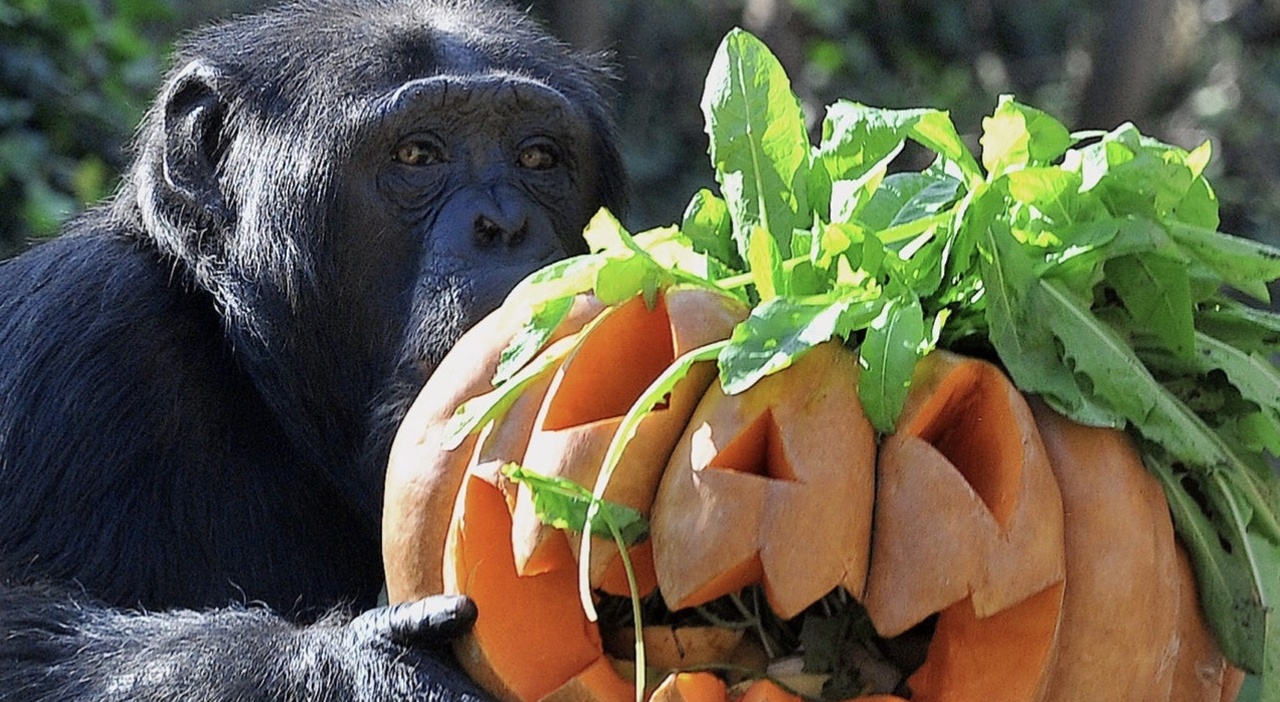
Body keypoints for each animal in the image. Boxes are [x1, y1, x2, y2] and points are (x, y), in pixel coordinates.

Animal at [0, 0, 624, 696]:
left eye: (538, 158)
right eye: (417, 154)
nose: (504, 225)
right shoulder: (74, 336)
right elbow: (20, 625)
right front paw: (380, 668)